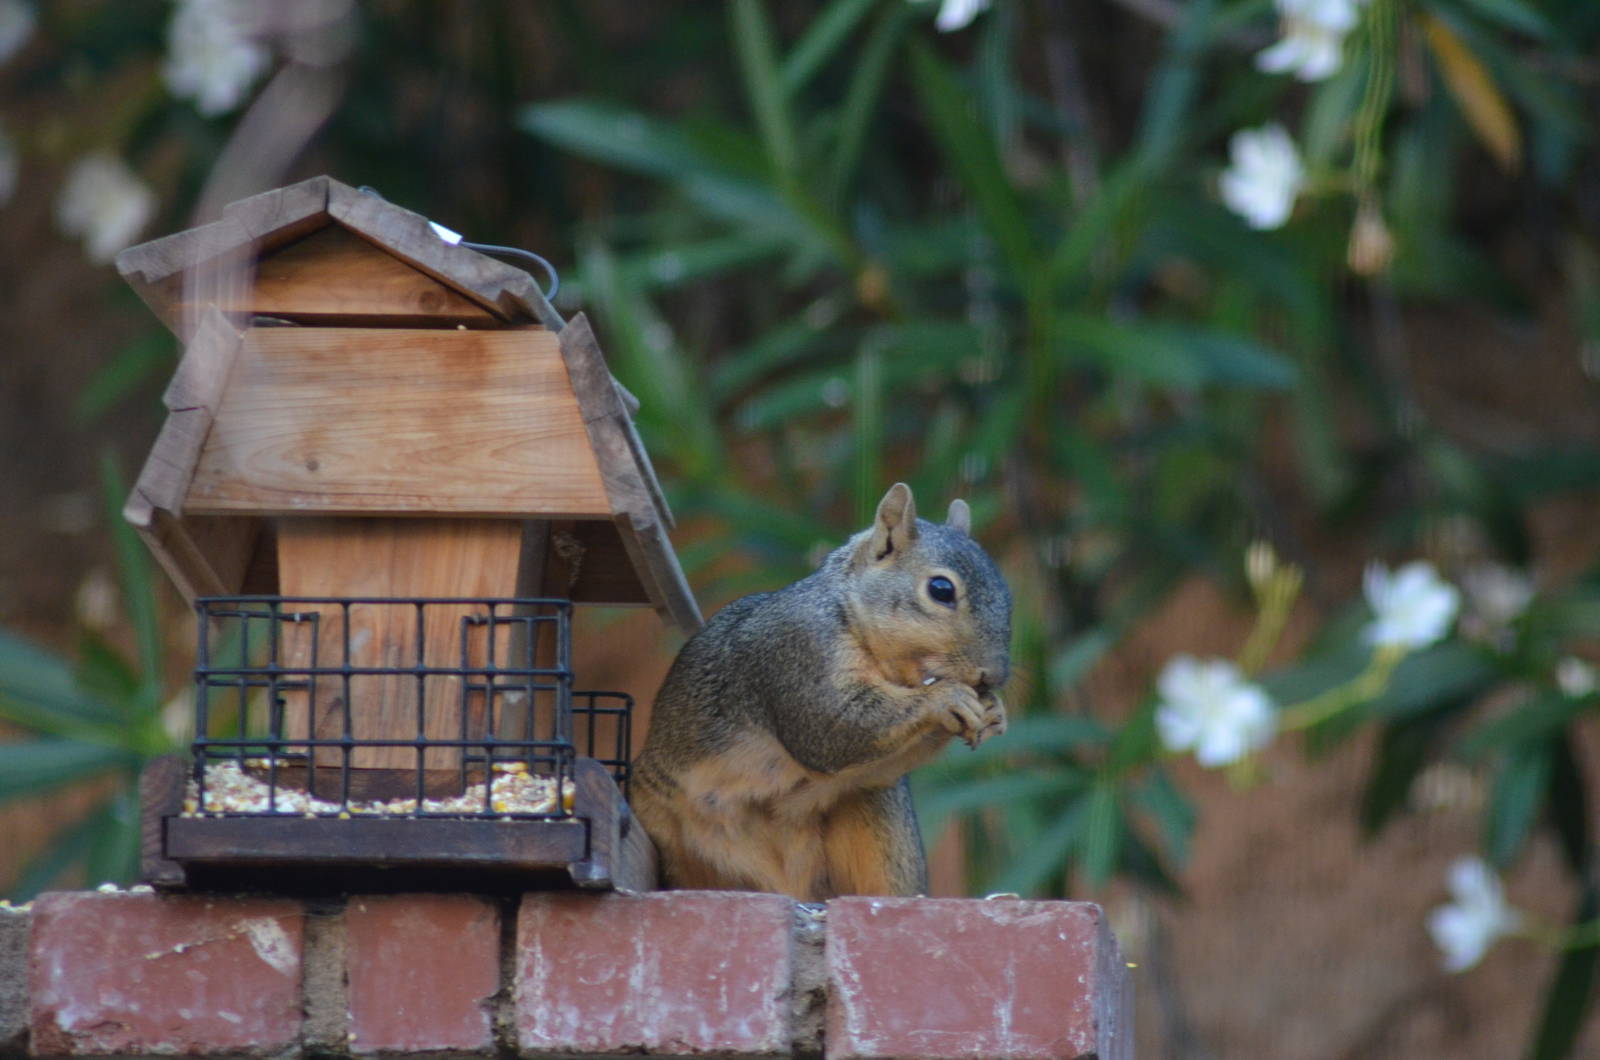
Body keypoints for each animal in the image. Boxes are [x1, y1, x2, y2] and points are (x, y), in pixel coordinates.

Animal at [631, 482, 1011, 900]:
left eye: (1007, 594)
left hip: (874, 815)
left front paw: (995, 712)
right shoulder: (798, 650)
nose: (994, 675)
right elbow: (831, 727)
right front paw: (945, 698)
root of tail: (790, 888)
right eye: (941, 589)